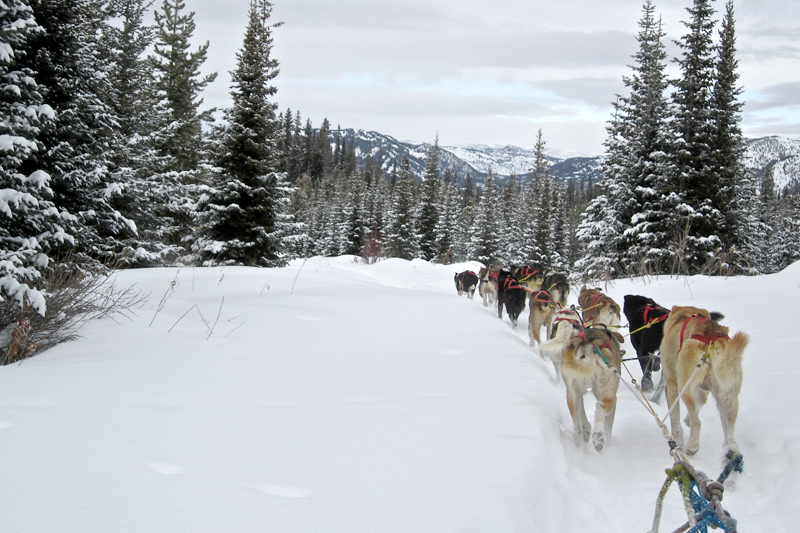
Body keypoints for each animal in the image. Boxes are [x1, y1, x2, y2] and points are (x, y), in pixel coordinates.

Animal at [660, 306, 748, 456]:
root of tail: (713, 341)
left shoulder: (671, 384)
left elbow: (675, 421)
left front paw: (678, 442)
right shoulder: (702, 390)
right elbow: (699, 404)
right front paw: (687, 419)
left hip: (684, 387)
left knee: (697, 423)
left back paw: (692, 446)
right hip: (728, 395)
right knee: (729, 430)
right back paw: (730, 449)